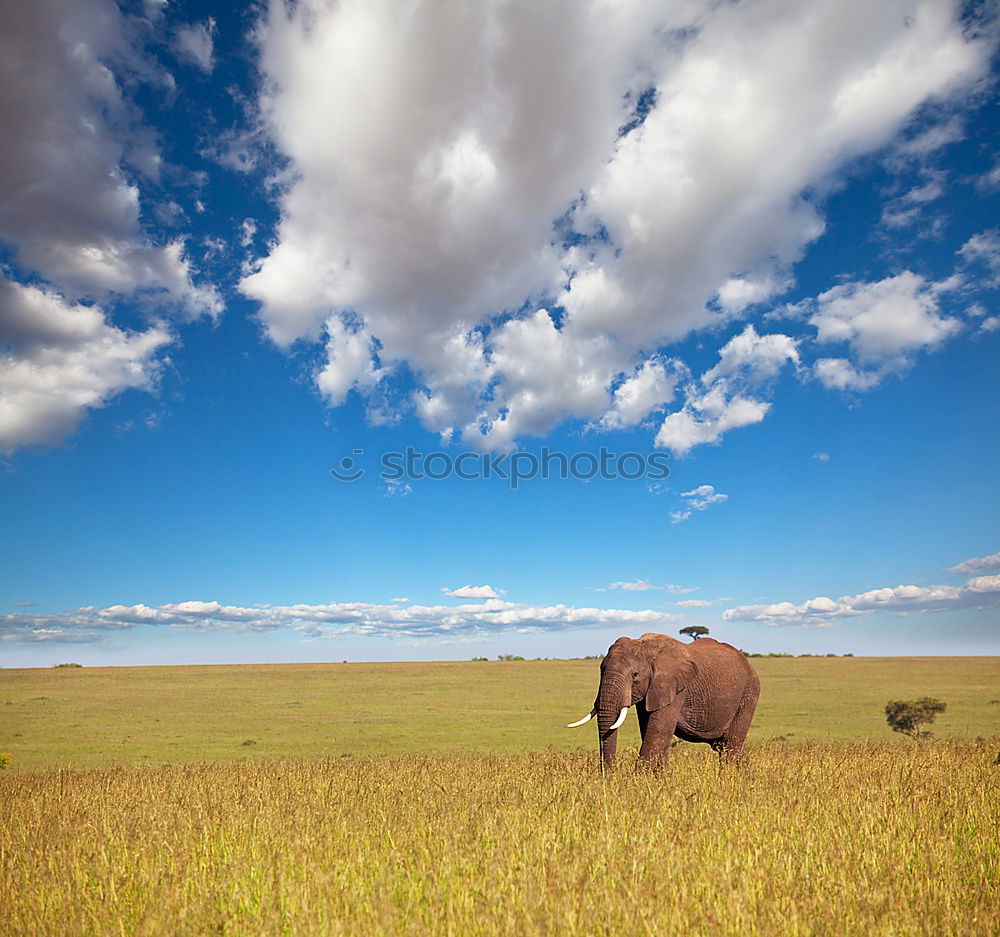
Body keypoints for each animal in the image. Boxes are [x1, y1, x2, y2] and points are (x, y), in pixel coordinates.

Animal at [572, 628, 756, 768]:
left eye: (635, 675)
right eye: (601, 671)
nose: (608, 780)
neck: (646, 647)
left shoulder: (676, 687)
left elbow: (657, 734)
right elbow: (651, 733)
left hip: (748, 693)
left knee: (731, 745)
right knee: (725, 746)